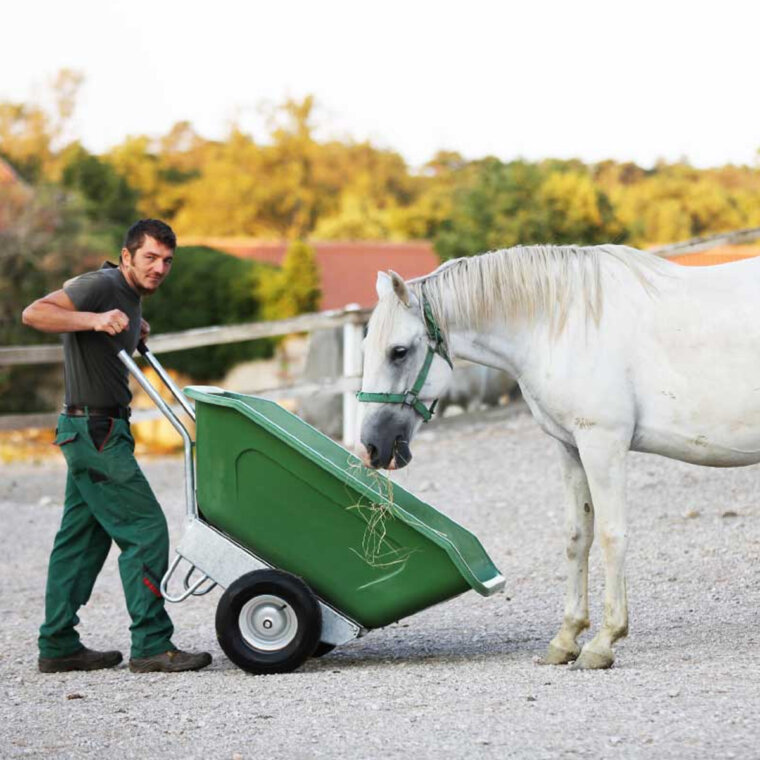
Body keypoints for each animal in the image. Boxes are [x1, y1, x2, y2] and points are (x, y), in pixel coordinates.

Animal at [360, 246, 760, 668]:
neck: (562, 326)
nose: (372, 446)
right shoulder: (570, 448)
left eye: (398, 352)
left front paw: (604, 642)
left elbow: (611, 535)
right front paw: (567, 638)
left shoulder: (602, 444)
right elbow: (577, 536)